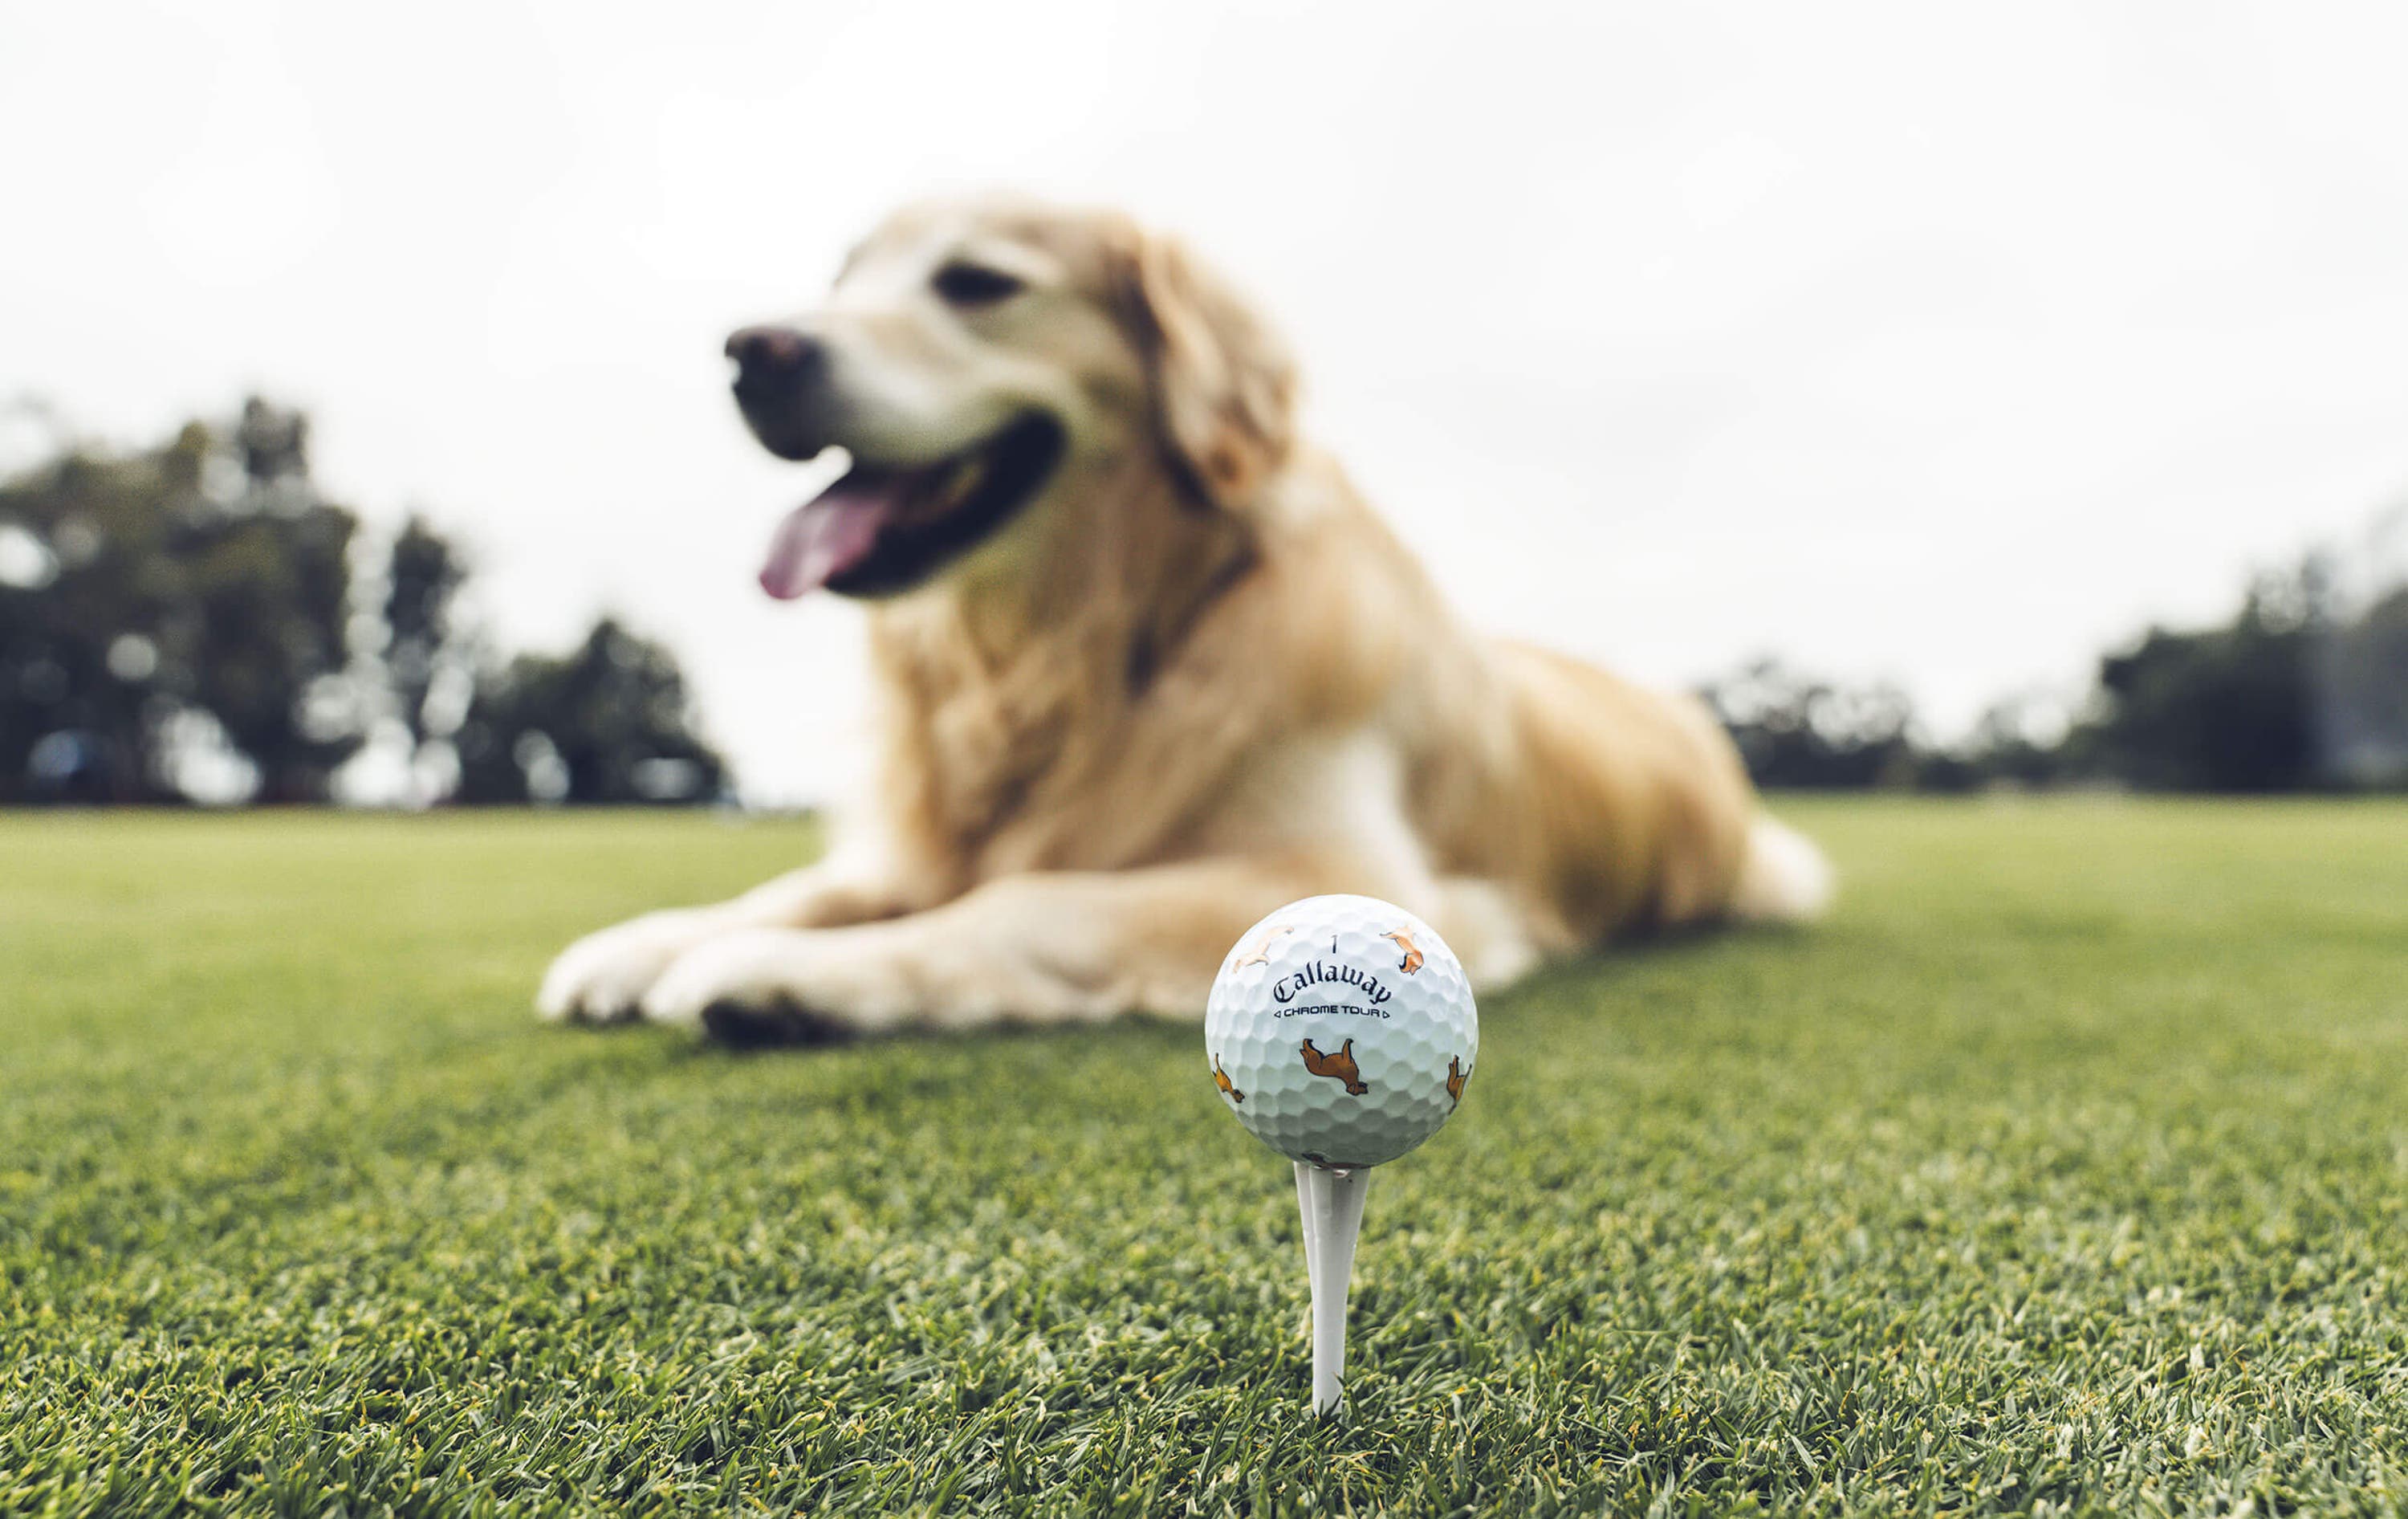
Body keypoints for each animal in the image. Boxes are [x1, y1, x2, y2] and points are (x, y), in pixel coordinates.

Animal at [537, 192, 1830, 1045]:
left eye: (977, 283)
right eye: (843, 279)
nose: (750, 352)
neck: (1072, 649)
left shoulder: (1355, 870)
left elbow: (1027, 901)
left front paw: (779, 973)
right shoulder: (923, 839)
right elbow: (809, 886)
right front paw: (652, 940)